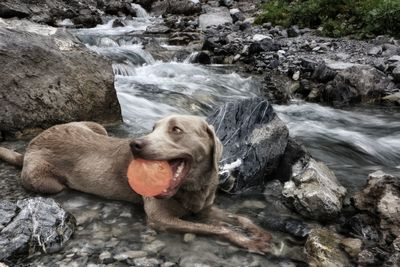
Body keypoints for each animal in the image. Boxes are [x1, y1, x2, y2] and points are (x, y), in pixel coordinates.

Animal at [0, 115, 272, 255]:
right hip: (46, 181)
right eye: (153, 128)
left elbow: (238, 219)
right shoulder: (160, 219)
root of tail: (30, 146)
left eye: (176, 129)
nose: (135, 144)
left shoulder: (204, 208)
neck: (192, 187)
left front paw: (259, 233)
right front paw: (250, 242)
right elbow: (219, 229)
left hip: (94, 127)